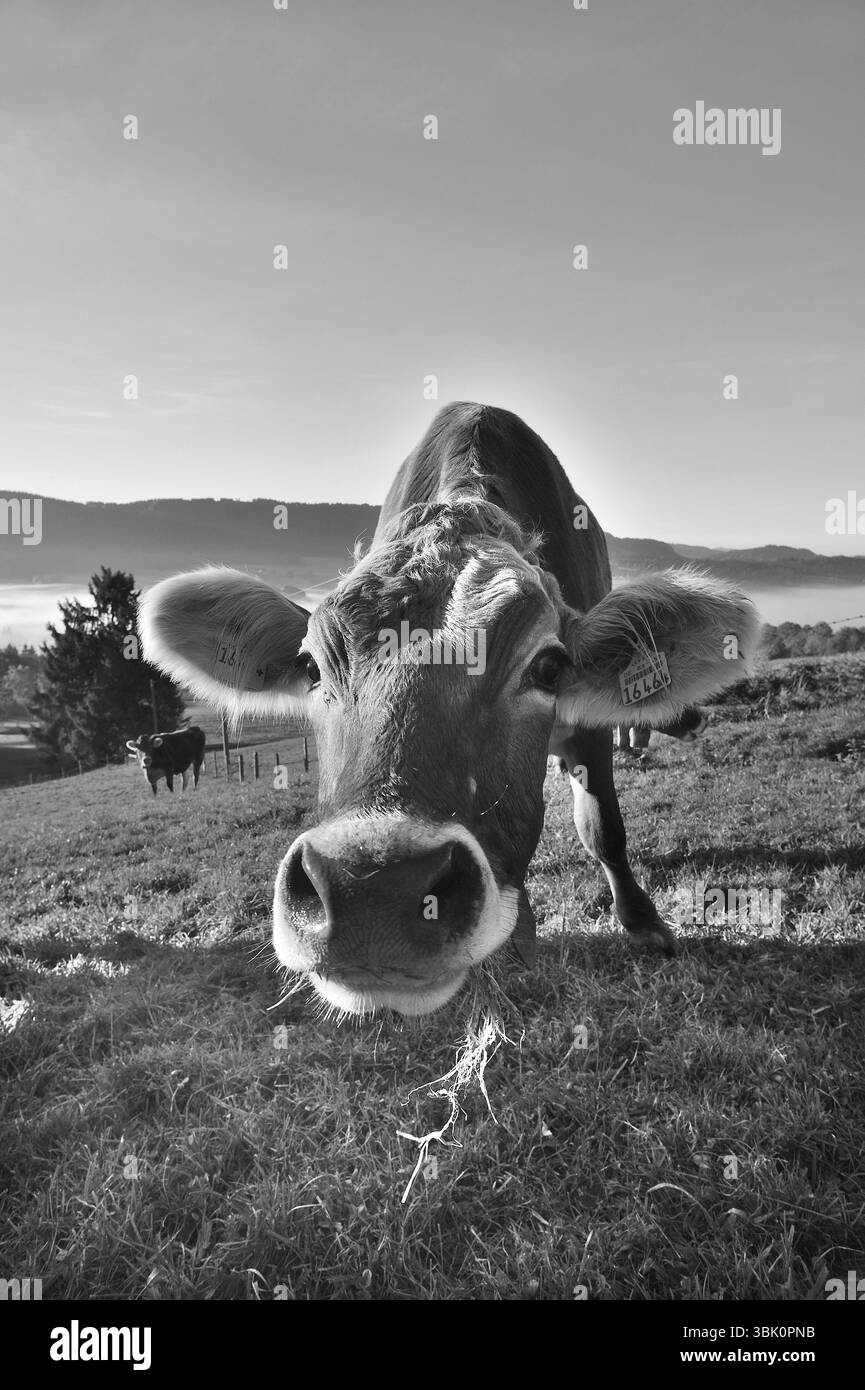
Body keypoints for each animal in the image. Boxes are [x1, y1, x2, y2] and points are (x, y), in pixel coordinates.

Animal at [139, 403, 758, 1017]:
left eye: (548, 667)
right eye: (312, 667)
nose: (374, 892)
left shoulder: (588, 727)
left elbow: (603, 827)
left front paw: (642, 922)